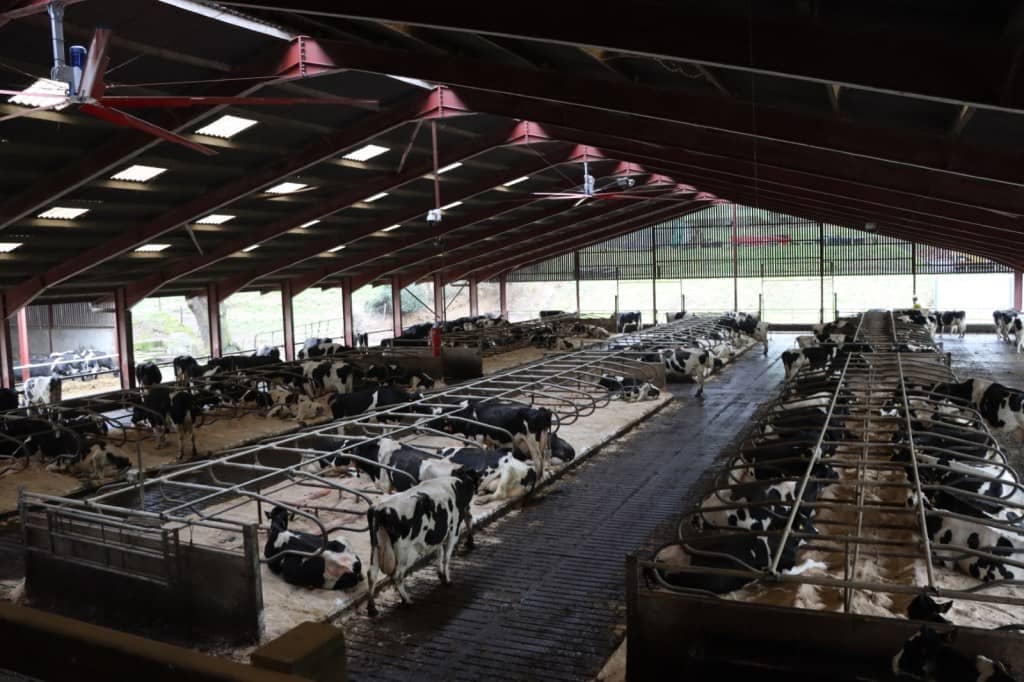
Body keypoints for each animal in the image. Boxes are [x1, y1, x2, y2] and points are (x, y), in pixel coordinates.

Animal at [368, 471, 479, 614]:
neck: (459, 484)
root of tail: (380, 508)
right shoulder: (453, 531)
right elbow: (446, 556)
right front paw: (448, 580)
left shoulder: (438, 533)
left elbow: (439, 552)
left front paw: (441, 575)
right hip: (405, 552)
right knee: (397, 575)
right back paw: (407, 601)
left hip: (376, 546)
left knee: (372, 574)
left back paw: (372, 609)